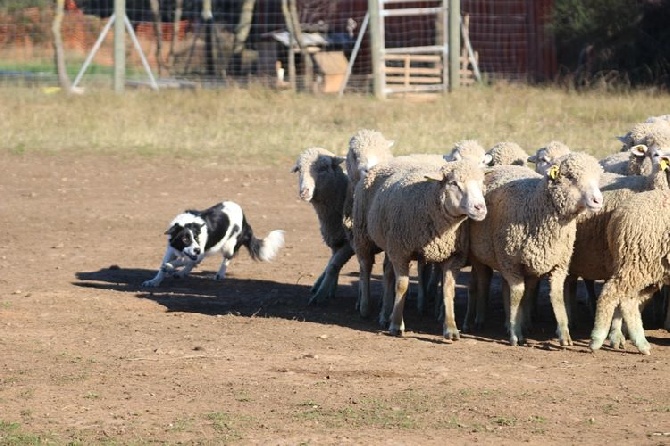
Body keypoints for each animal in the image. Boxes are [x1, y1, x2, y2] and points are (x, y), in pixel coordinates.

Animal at [143, 201, 284, 288]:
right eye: (185, 239)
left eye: (196, 237)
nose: (197, 249)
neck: (187, 223)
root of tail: (245, 219)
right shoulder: (171, 249)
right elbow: (166, 266)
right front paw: (154, 281)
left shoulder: (199, 251)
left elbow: (181, 261)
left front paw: (169, 266)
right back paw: (182, 272)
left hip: (229, 246)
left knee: (226, 259)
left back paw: (220, 274)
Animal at [352, 158, 488, 338]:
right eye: (453, 183)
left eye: (482, 183)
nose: (480, 208)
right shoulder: (401, 252)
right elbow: (402, 286)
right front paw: (397, 325)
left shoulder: (454, 257)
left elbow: (448, 290)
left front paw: (451, 328)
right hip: (363, 234)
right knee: (365, 266)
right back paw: (365, 307)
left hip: (390, 243)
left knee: (387, 273)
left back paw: (385, 314)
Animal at [470, 152, 608, 346]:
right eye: (570, 177)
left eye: (597, 178)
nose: (598, 200)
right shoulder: (511, 262)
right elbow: (517, 294)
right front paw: (515, 334)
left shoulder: (559, 264)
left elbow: (556, 296)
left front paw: (564, 335)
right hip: (483, 255)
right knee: (485, 281)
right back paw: (481, 319)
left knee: (514, 288)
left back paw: (517, 322)